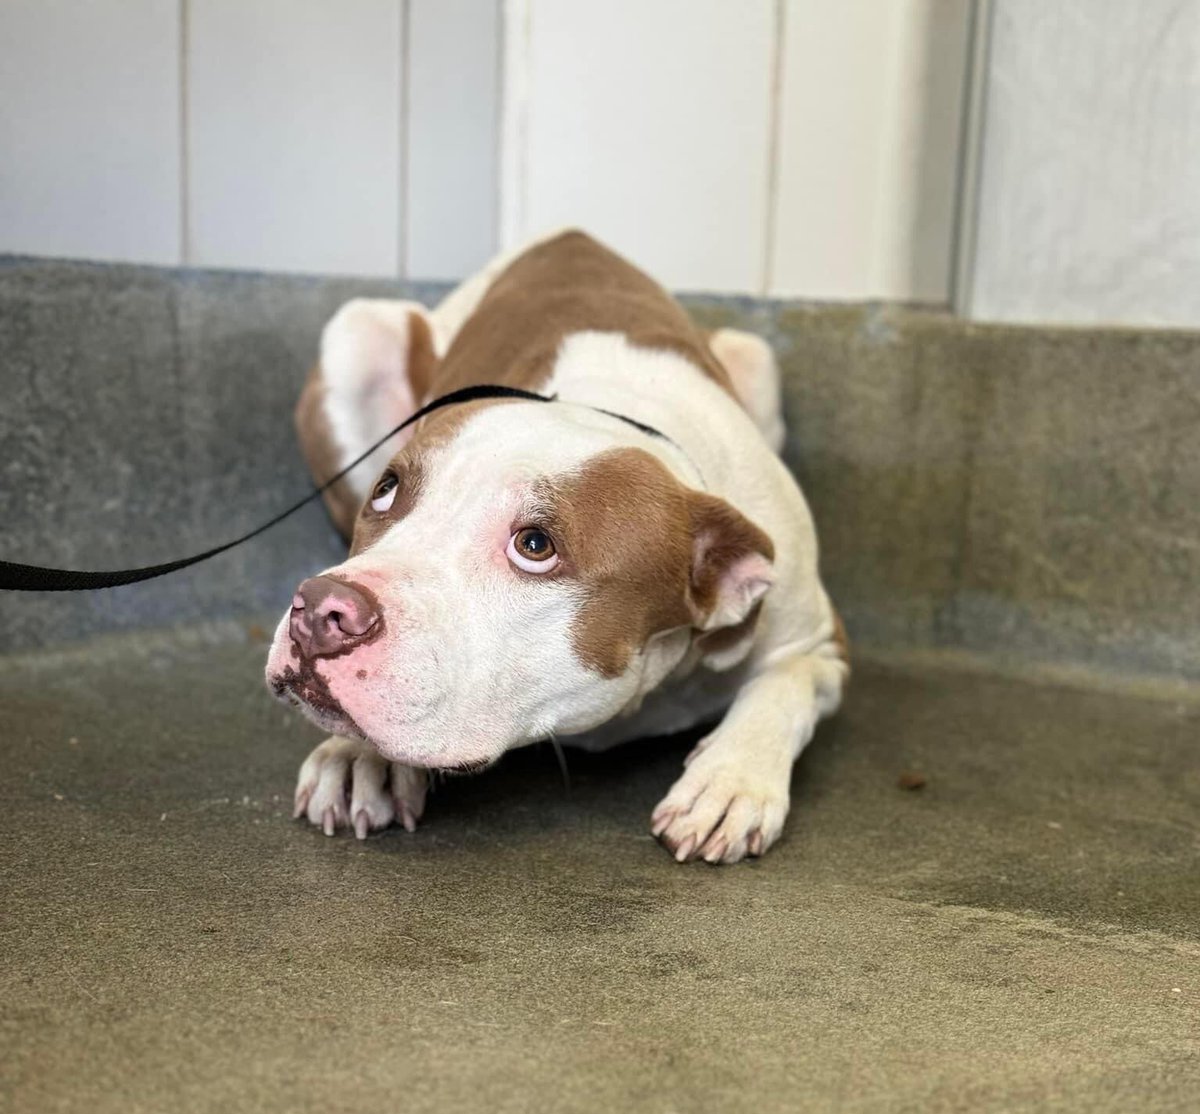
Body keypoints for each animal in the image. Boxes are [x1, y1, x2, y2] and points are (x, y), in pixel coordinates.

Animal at [265, 230, 844, 864]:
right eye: (386, 491)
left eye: (535, 545)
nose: (322, 612)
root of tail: (567, 234)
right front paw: (357, 756)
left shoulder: (817, 639)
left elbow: (785, 684)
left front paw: (732, 776)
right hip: (357, 335)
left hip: (754, 357)